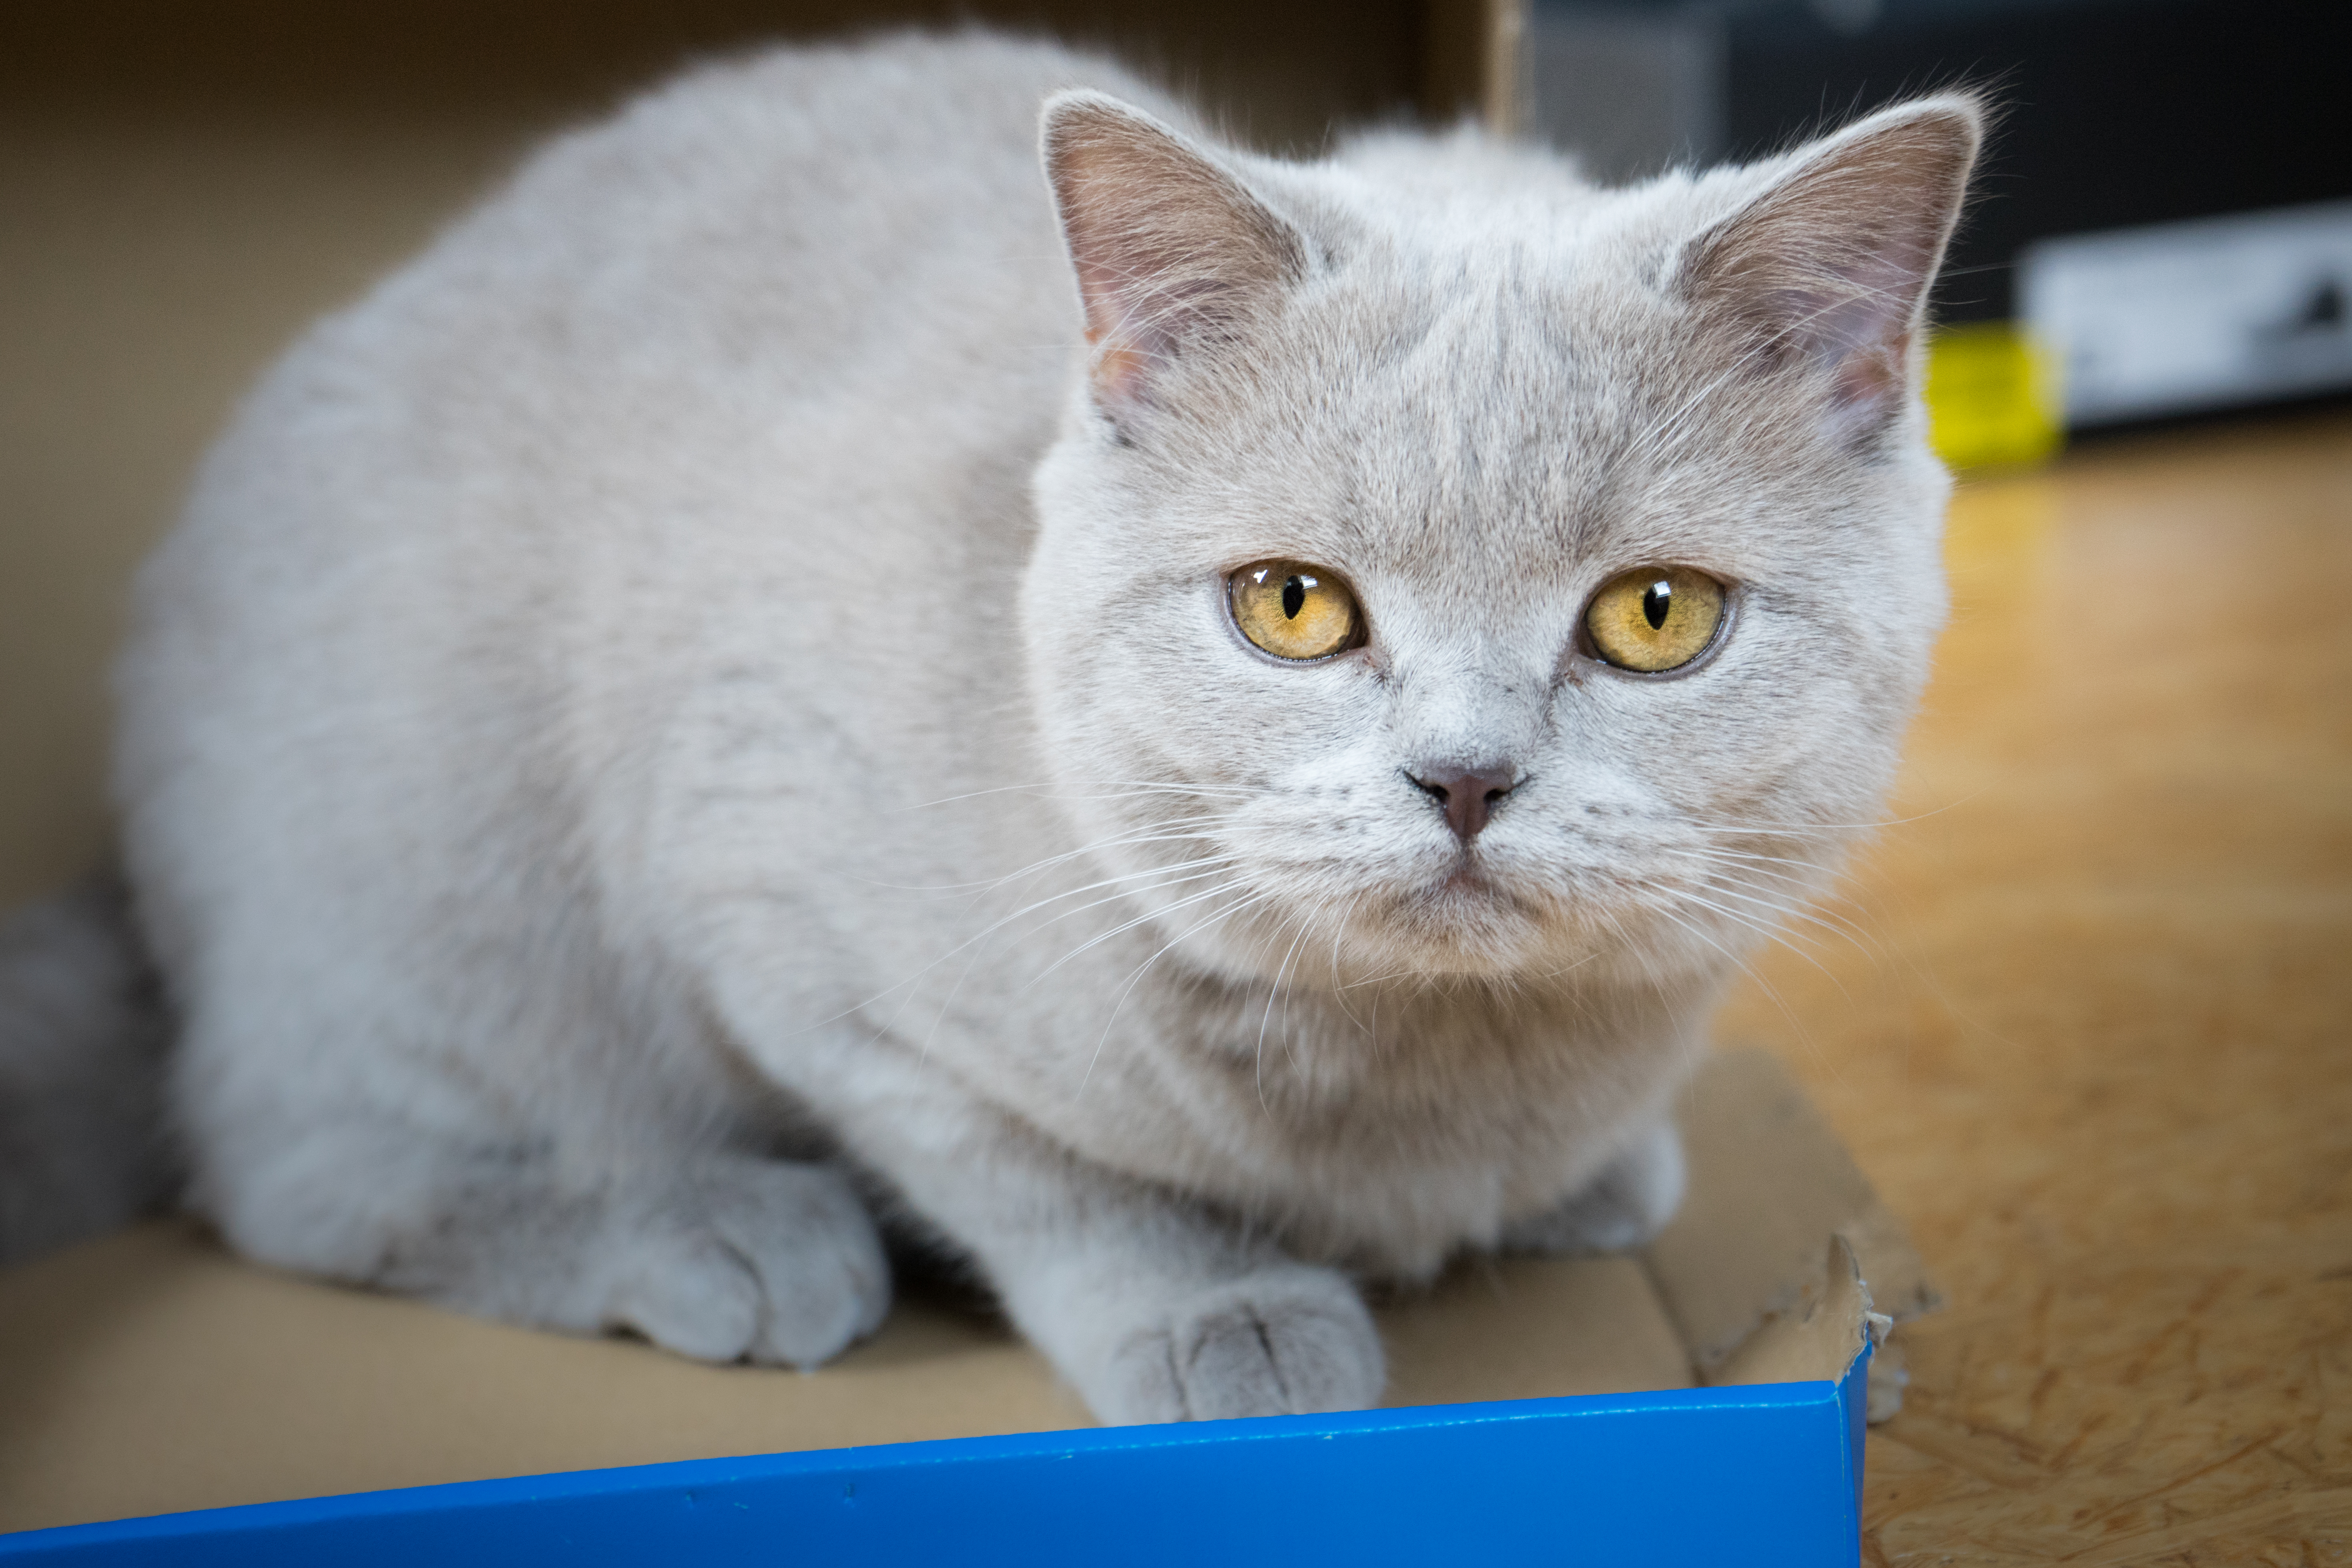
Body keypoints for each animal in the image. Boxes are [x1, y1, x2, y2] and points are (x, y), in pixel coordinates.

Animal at [18, 30, 1976, 1429]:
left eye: (1655, 617)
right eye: (1293, 606)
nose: (1466, 776)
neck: (1436, 1076)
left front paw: (1590, 1179)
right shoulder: (780, 906)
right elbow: (1037, 1177)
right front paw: (1222, 1314)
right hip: (438, 866)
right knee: (296, 1168)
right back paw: (719, 1230)